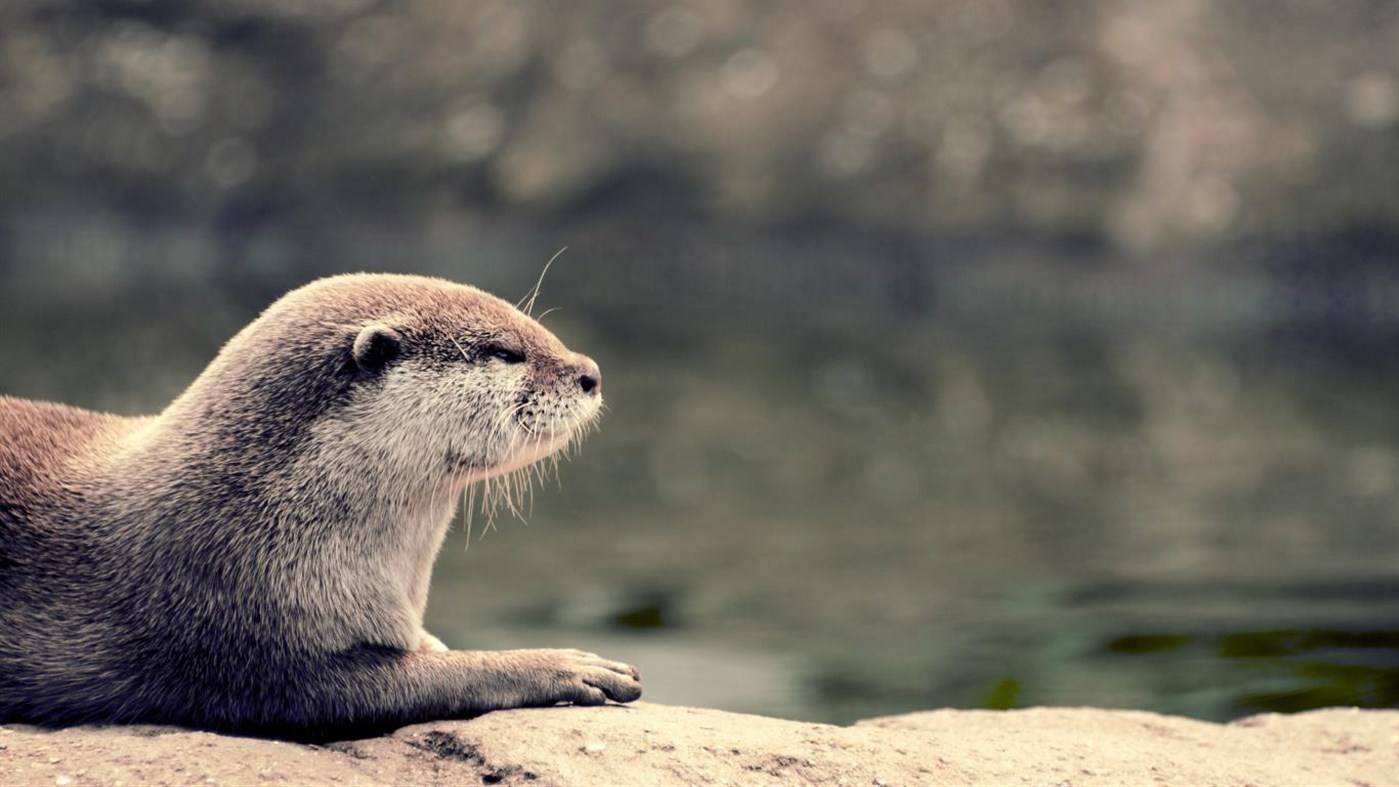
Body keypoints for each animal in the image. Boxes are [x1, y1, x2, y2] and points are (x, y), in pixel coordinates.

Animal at [0, 273, 640, 740]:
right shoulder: (248, 638)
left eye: (535, 327)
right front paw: (567, 664)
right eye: (505, 353)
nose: (590, 373)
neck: (261, 509)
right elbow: (430, 681)